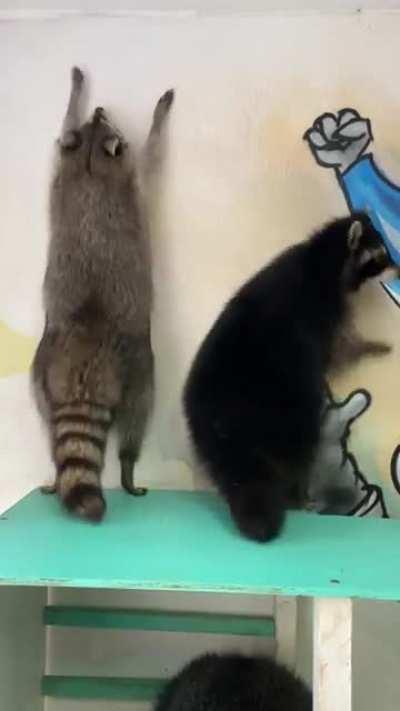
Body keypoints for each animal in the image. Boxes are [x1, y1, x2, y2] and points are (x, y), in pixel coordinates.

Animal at [32, 67, 174, 520]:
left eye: (101, 121)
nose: (99, 108)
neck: (91, 161)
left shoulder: (61, 166)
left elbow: (60, 130)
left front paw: (75, 94)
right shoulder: (134, 179)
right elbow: (153, 157)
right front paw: (158, 118)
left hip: (40, 370)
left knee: (48, 422)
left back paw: (56, 468)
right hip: (139, 365)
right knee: (138, 414)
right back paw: (128, 465)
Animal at [183, 214, 393, 541]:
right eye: (381, 256)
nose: (398, 268)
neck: (321, 256)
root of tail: (226, 415)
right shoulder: (324, 314)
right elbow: (338, 353)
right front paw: (372, 347)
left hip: (208, 430)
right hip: (288, 409)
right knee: (299, 446)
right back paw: (297, 493)